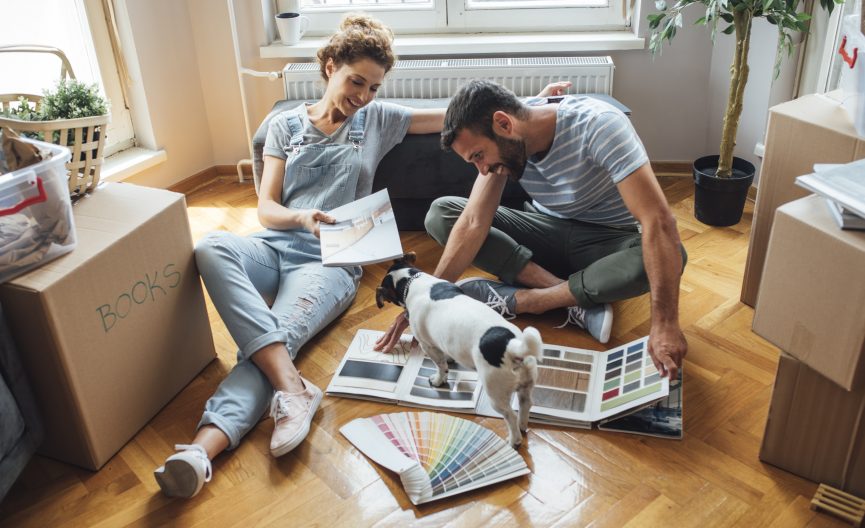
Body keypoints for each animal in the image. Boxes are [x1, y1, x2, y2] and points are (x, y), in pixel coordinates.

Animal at [376, 254, 544, 448]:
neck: (413, 281)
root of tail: (511, 346)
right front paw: (450, 359)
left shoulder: (428, 345)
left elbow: (441, 367)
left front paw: (438, 380)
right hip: (526, 383)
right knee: (526, 404)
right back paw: (523, 426)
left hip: (496, 393)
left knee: (510, 416)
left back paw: (513, 440)